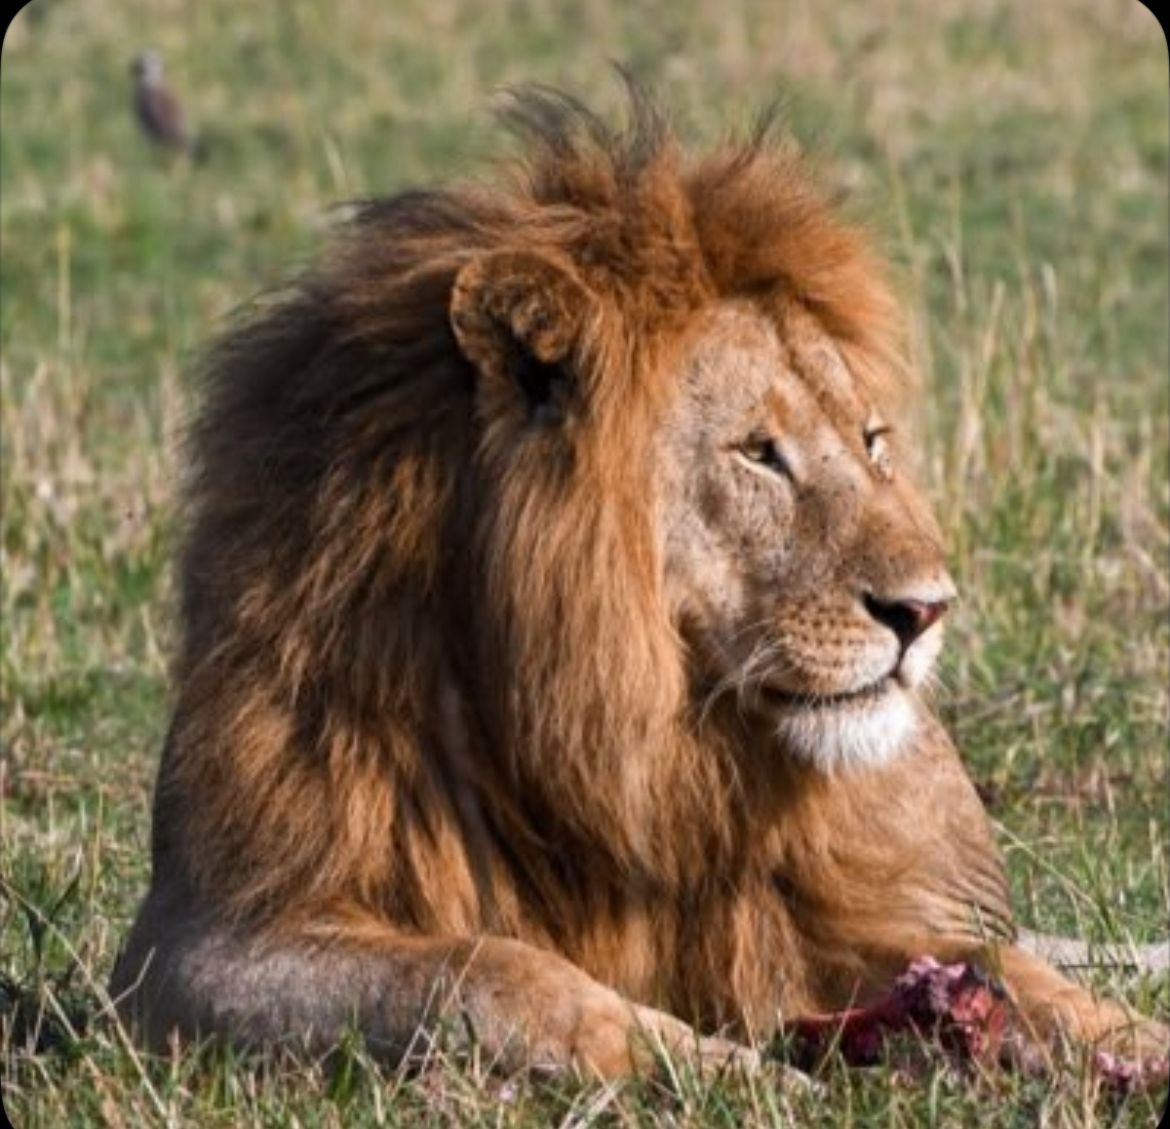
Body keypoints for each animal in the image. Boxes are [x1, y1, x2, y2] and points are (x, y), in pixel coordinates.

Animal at [110, 84, 1167, 1081]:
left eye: (872, 442)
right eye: (759, 453)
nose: (927, 610)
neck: (619, 728)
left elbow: (991, 967)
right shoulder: (193, 950)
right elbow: (488, 970)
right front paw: (726, 1072)